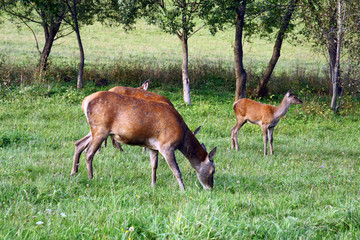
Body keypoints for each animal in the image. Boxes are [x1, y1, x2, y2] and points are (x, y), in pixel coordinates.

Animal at [71, 91, 215, 190]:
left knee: (79, 143)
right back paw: (91, 177)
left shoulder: (153, 146)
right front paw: (183, 188)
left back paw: (74, 172)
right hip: (100, 128)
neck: (182, 136)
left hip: (95, 130)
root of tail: (85, 101)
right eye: (213, 170)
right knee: (89, 152)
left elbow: (154, 166)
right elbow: (176, 170)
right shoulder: (167, 145)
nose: (210, 187)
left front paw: (153, 184)